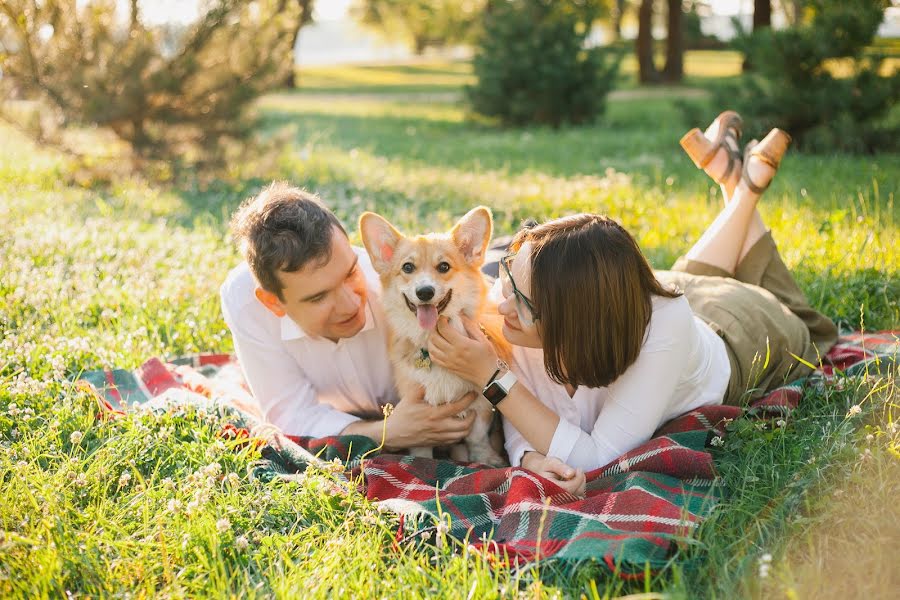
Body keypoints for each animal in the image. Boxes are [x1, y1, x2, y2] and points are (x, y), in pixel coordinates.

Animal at [360, 207, 512, 468]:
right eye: (407, 267)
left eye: (443, 267)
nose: (424, 292)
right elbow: (421, 445)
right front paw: (423, 462)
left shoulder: (480, 403)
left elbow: (477, 438)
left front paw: (484, 459)